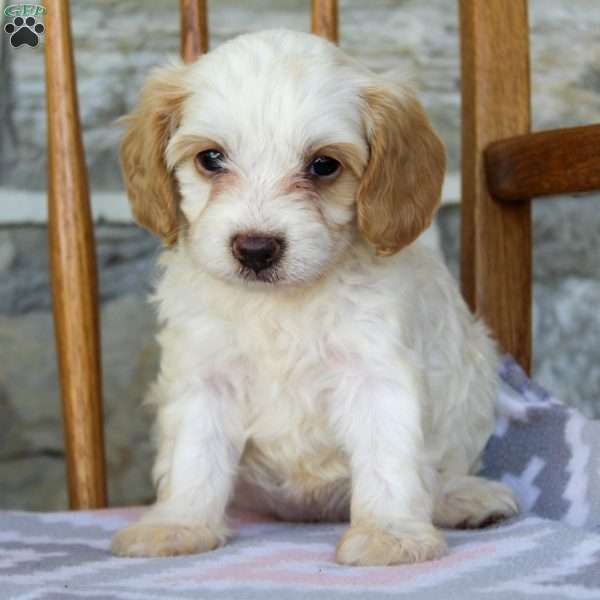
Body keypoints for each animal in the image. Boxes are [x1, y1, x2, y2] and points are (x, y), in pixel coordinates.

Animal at [110, 28, 516, 564]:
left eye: (324, 165)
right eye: (211, 158)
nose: (255, 249)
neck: (282, 303)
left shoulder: (377, 372)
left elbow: (388, 458)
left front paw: (389, 534)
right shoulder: (206, 376)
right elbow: (194, 456)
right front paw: (178, 524)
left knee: (444, 472)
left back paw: (465, 499)